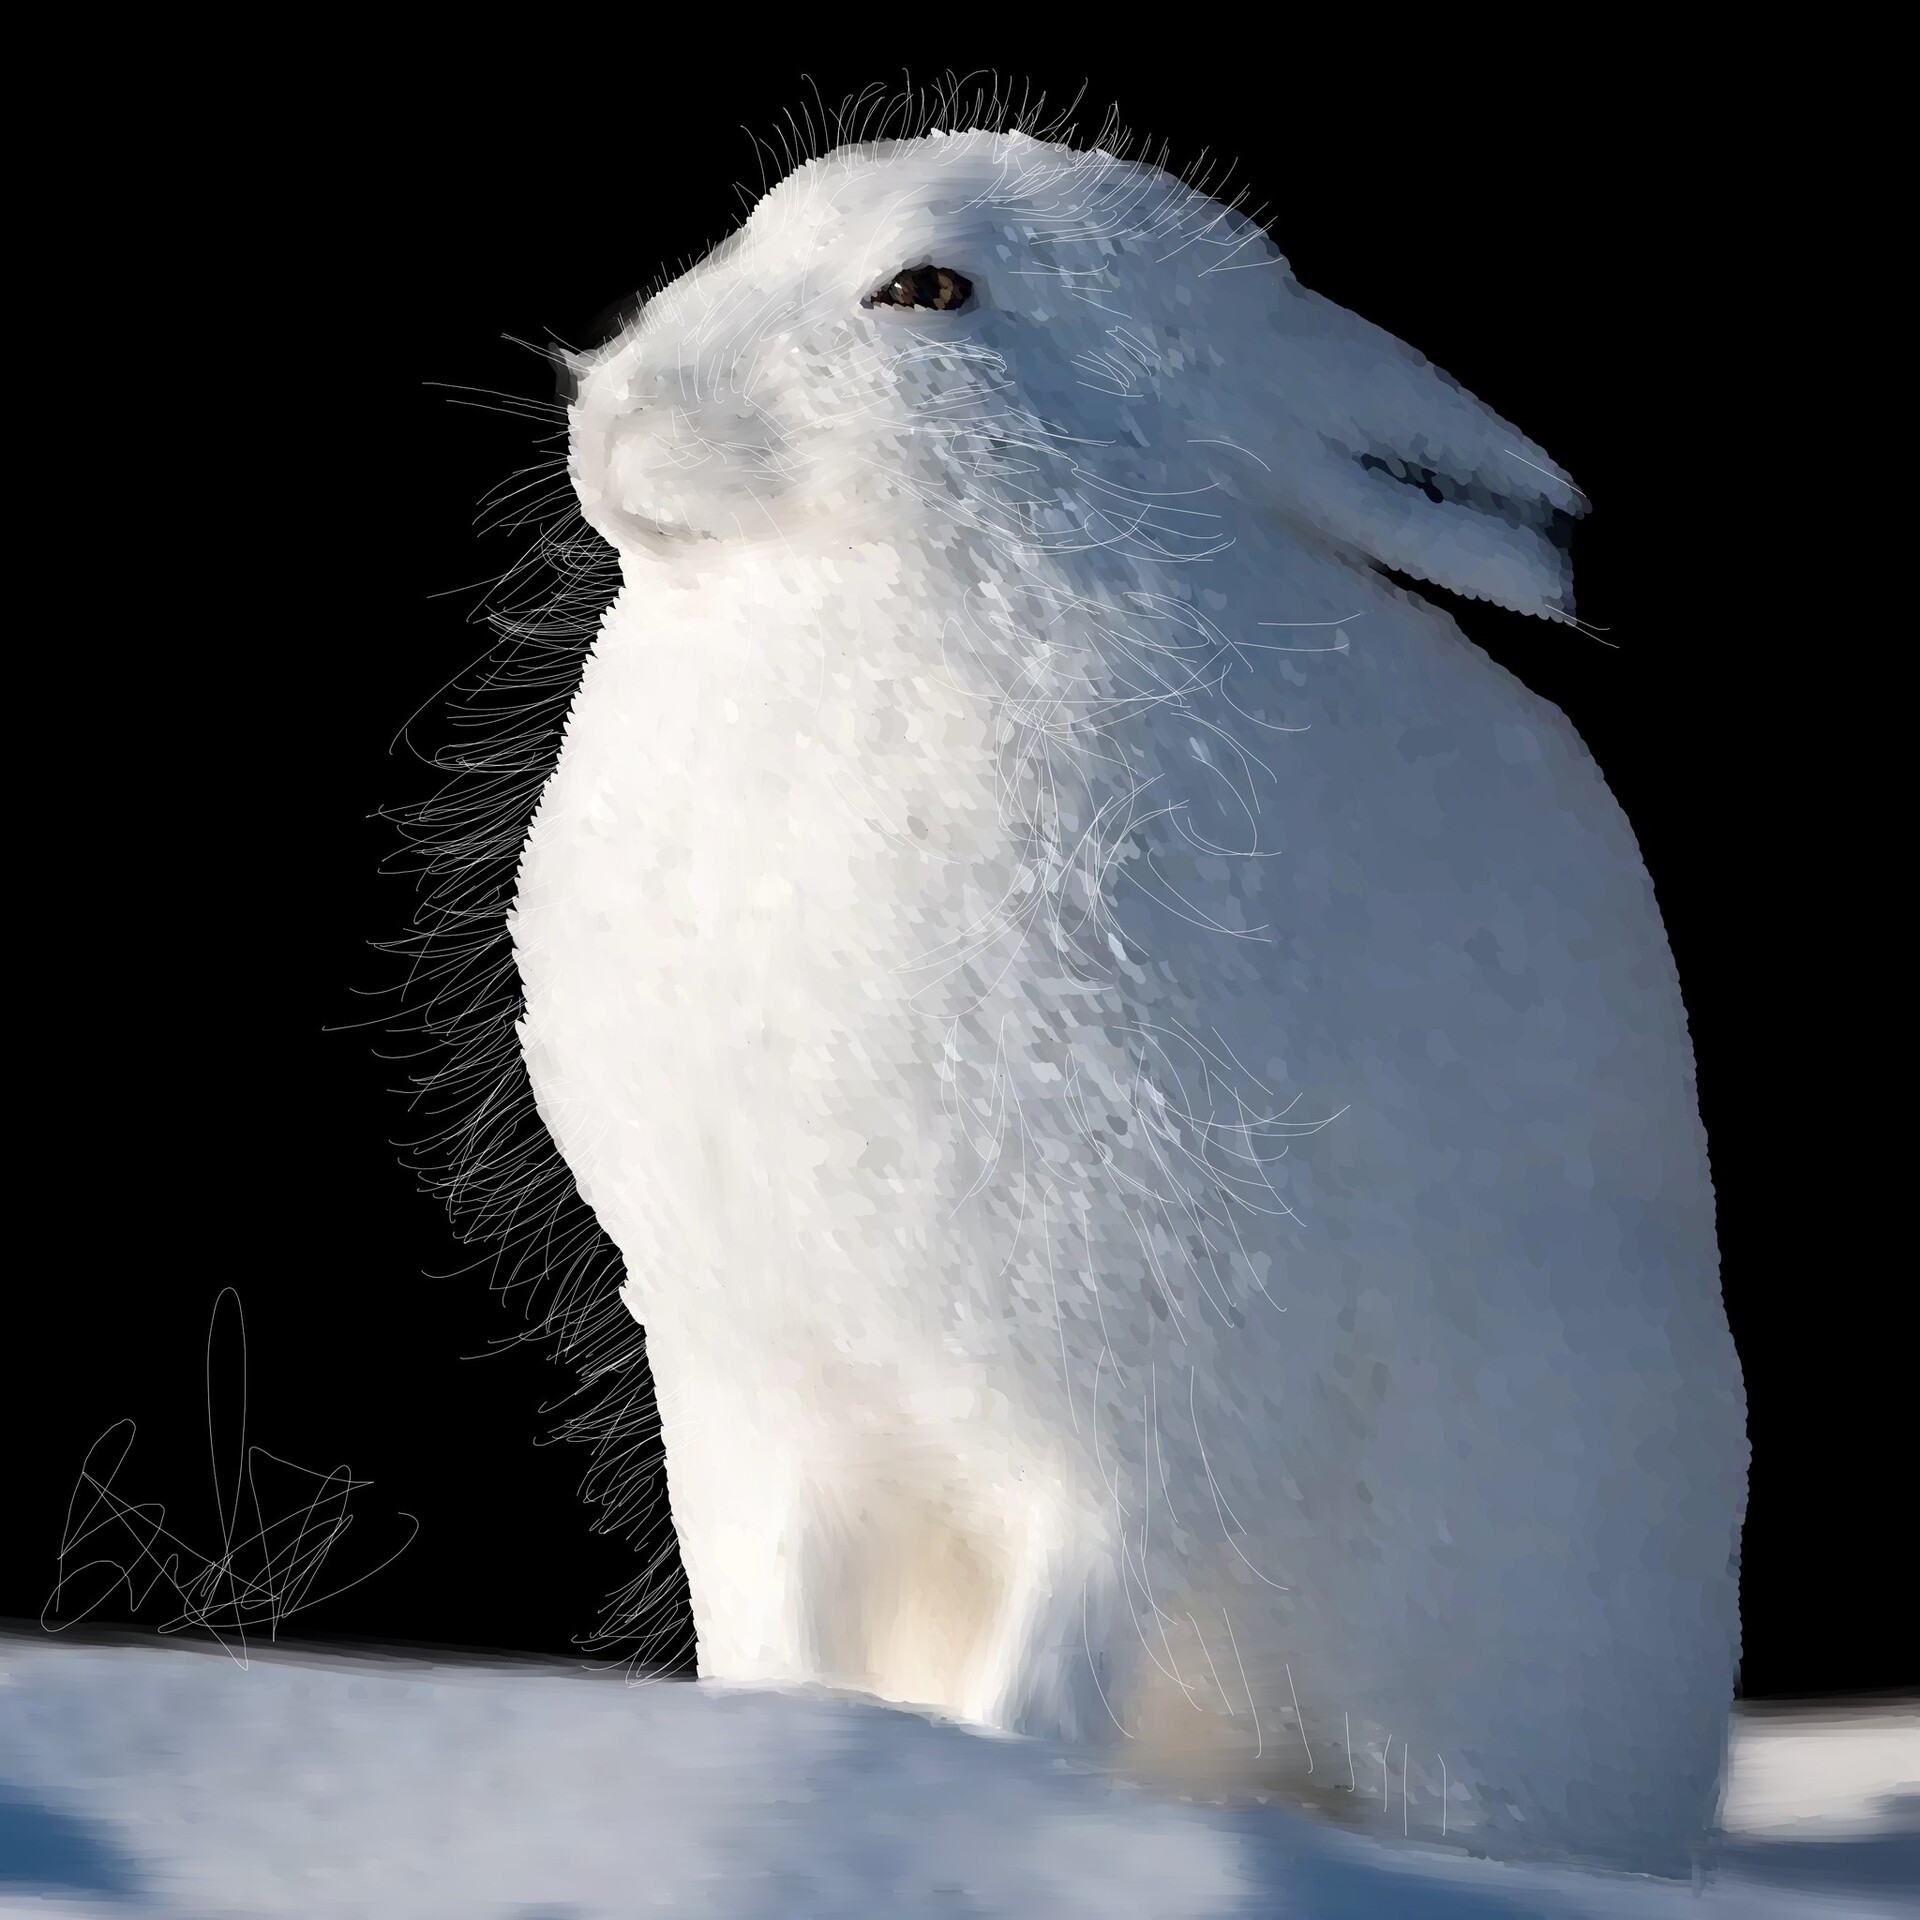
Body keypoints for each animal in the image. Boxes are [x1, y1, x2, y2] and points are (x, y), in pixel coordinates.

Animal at [506, 120, 1748, 1877]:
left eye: (929, 291)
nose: (609, 413)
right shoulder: (786, 1396)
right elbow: (801, 1616)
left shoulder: (1158, 1397)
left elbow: (1076, 1626)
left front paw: (980, 1791)